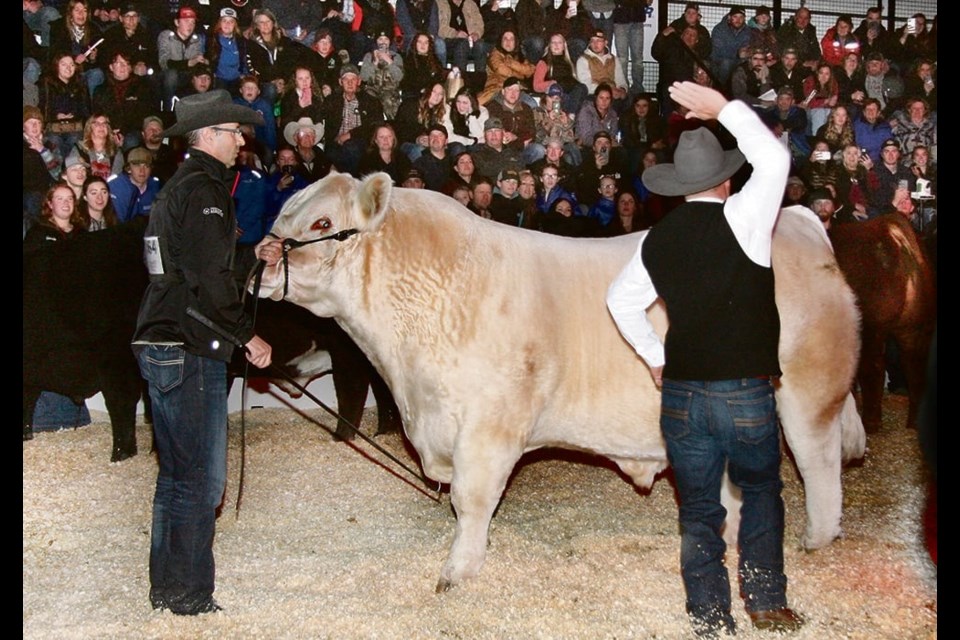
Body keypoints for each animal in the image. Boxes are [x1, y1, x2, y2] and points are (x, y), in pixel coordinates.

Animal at [258, 174, 868, 592]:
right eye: (285, 212)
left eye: (321, 224)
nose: (261, 258)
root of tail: (801, 223)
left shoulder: (489, 428)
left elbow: (472, 501)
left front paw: (458, 571)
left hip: (808, 393)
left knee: (817, 462)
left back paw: (815, 540)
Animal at [832, 214, 936, 430]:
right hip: (915, 327)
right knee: (914, 365)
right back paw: (913, 420)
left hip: (871, 326)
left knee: (873, 366)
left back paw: (870, 422)